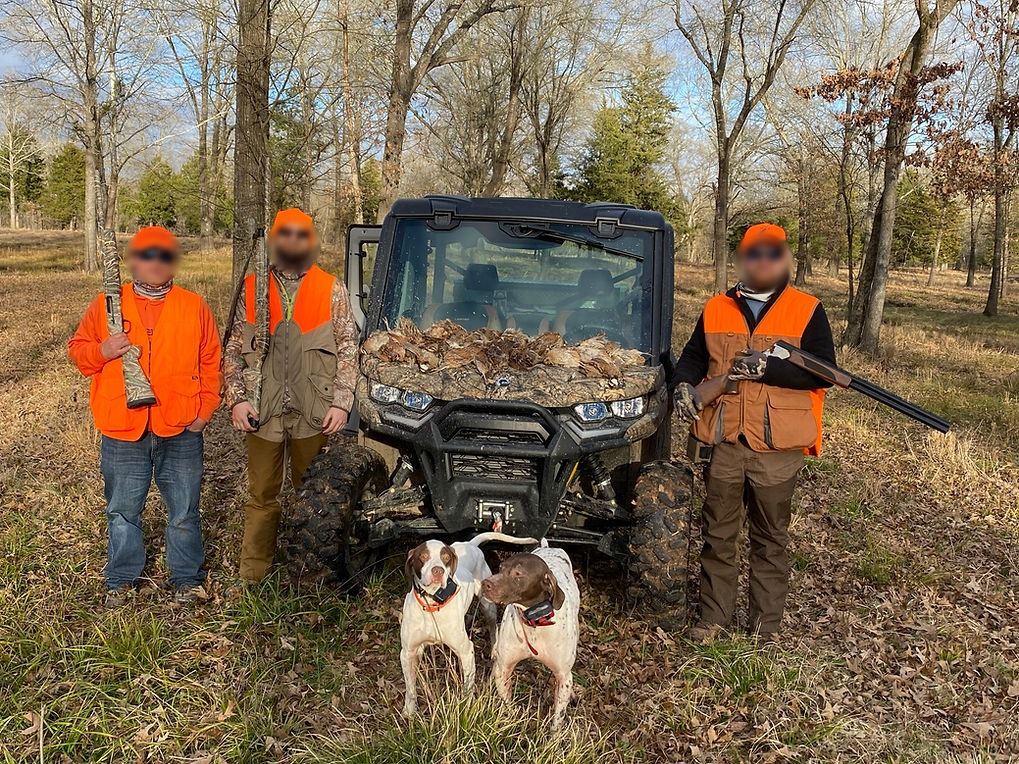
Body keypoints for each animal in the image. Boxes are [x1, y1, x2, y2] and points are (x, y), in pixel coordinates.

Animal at [400, 531, 537, 717]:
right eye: (423, 556)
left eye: (445, 557)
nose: (438, 571)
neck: (432, 605)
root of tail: (470, 544)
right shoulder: (407, 652)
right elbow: (410, 688)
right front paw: (409, 711)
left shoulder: (466, 651)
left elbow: (468, 687)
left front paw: (466, 707)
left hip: (488, 605)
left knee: (493, 626)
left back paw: (494, 649)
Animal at [480, 541, 580, 726]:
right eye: (501, 567)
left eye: (518, 574)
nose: (485, 583)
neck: (534, 623)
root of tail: (548, 547)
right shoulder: (504, 670)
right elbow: (508, 706)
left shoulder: (563, 676)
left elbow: (557, 721)